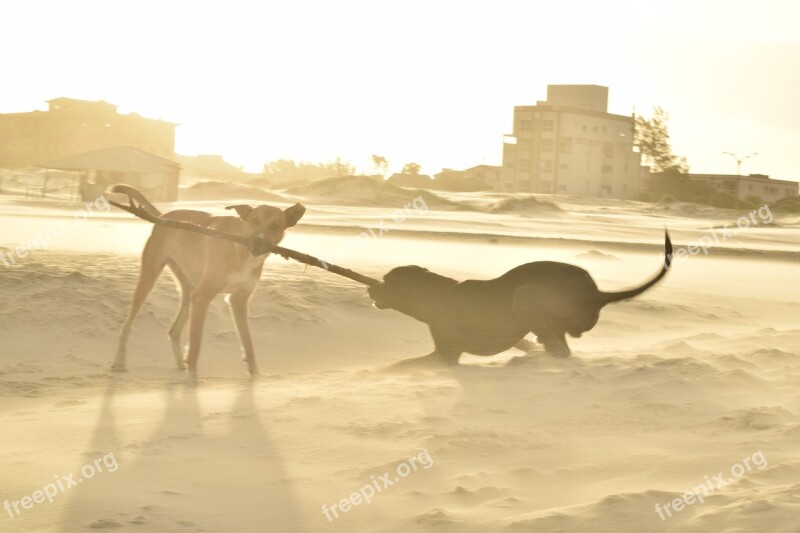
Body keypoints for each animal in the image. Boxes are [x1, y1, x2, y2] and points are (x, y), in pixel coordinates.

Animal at [114, 185, 308, 380]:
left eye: (275, 226)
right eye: (254, 220)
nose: (257, 241)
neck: (242, 250)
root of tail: (164, 216)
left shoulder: (238, 300)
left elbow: (247, 342)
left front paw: (255, 376)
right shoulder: (202, 297)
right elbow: (196, 343)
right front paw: (192, 379)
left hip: (188, 291)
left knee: (174, 331)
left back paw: (180, 364)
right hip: (150, 278)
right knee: (126, 325)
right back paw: (119, 363)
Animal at [372, 233, 672, 366]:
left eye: (386, 280)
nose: (372, 288)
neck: (433, 294)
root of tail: (597, 293)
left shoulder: (446, 355)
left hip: (525, 294)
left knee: (559, 349)